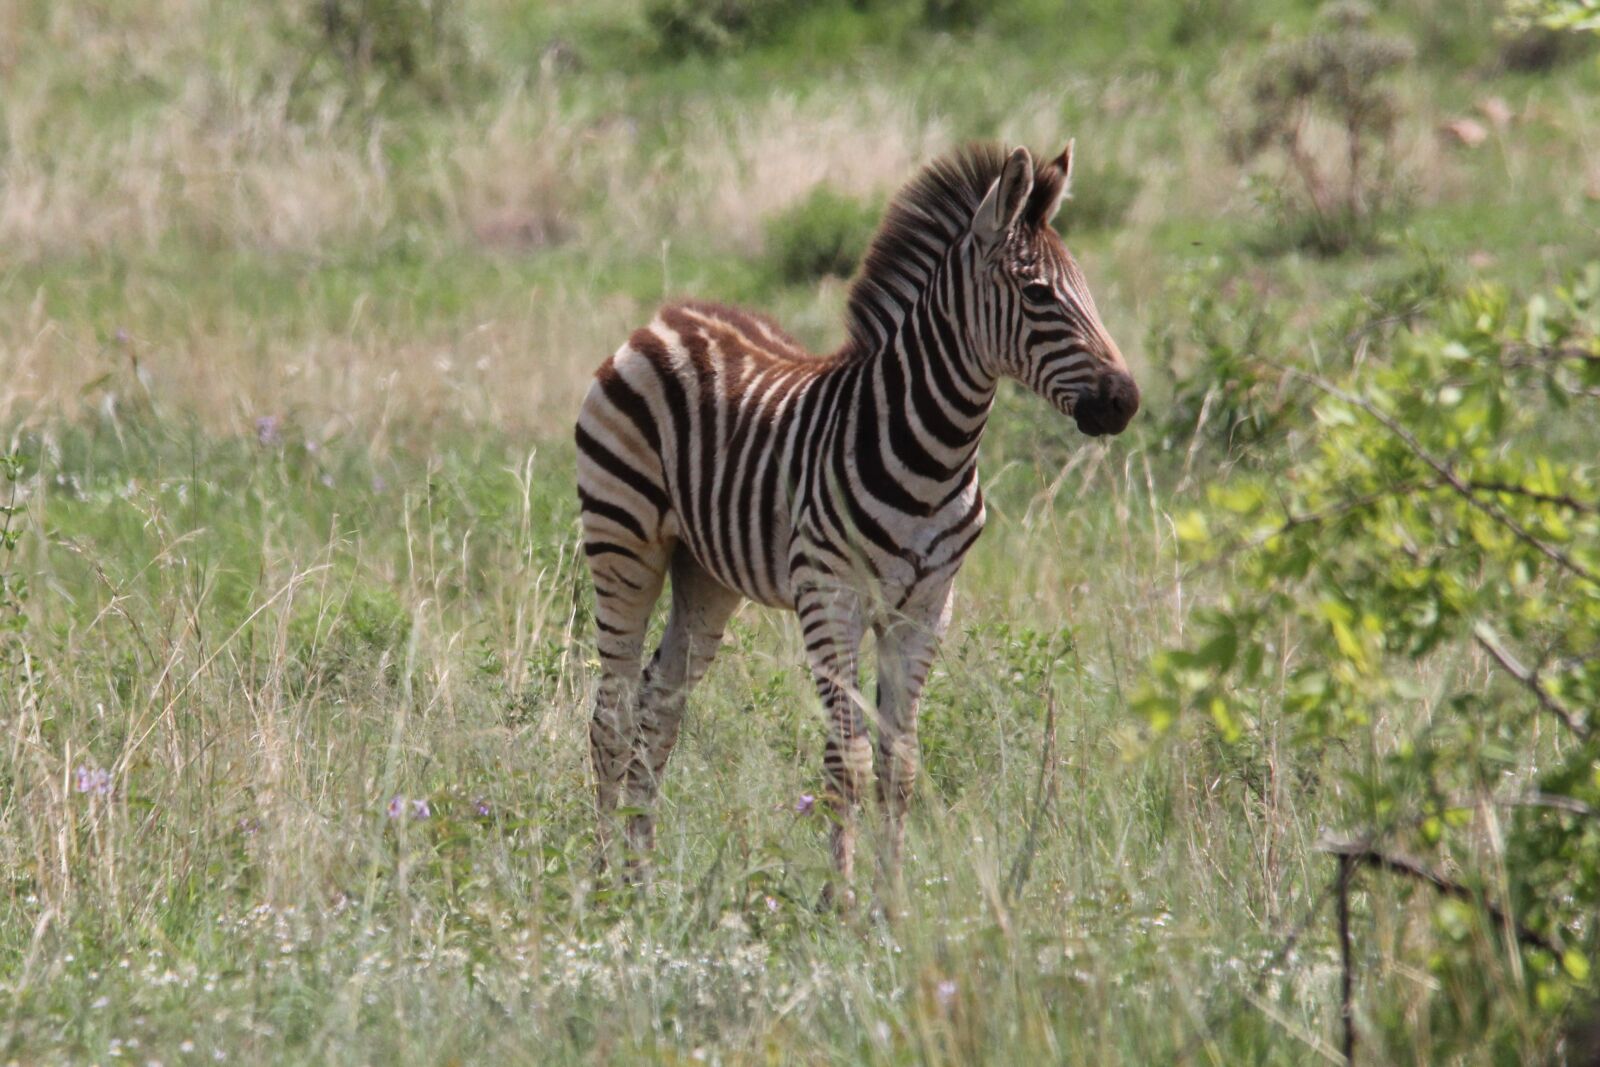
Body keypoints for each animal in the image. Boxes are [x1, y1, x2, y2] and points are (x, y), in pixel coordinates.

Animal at [575, 141, 1139, 899]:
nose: (1125, 400)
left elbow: (899, 765)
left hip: (705, 573)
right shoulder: (830, 595)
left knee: (658, 706)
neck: (934, 454)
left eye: (1085, 288)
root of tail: (665, 319)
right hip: (623, 541)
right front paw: (837, 900)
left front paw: (888, 901)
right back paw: (602, 882)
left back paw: (642, 876)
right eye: (1039, 294)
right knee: (610, 714)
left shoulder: (926, 608)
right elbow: (848, 759)